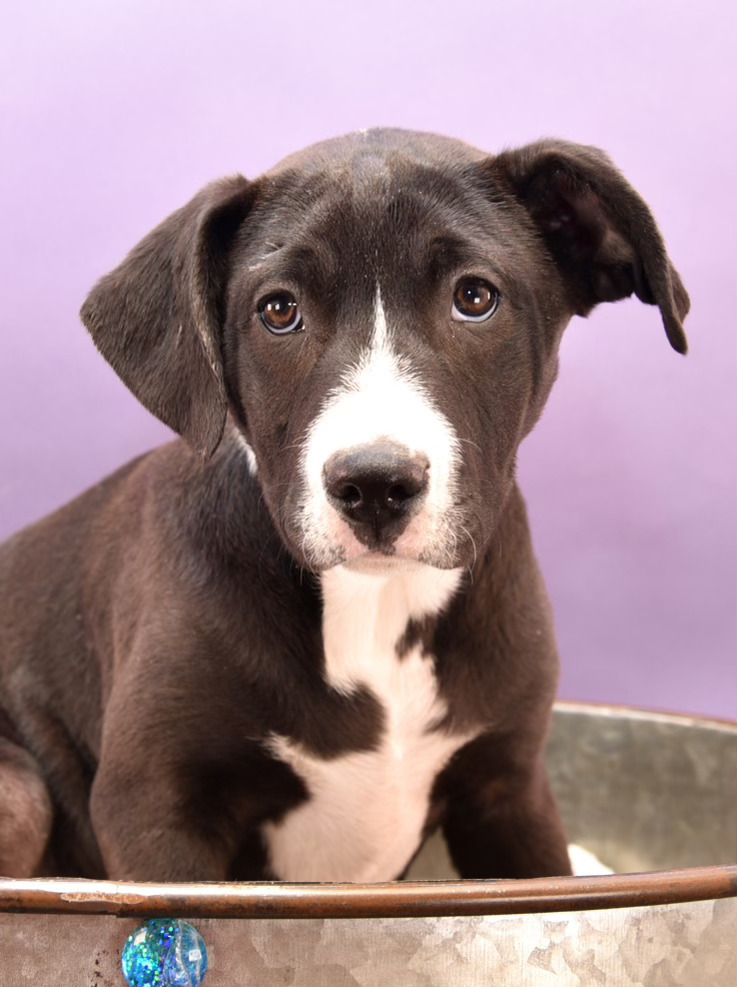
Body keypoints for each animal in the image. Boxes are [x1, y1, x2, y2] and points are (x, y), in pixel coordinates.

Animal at [1, 129, 688, 880]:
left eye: (474, 297)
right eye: (279, 310)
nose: (376, 485)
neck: (377, 602)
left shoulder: (510, 789)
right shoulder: (153, 804)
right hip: (22, 789)